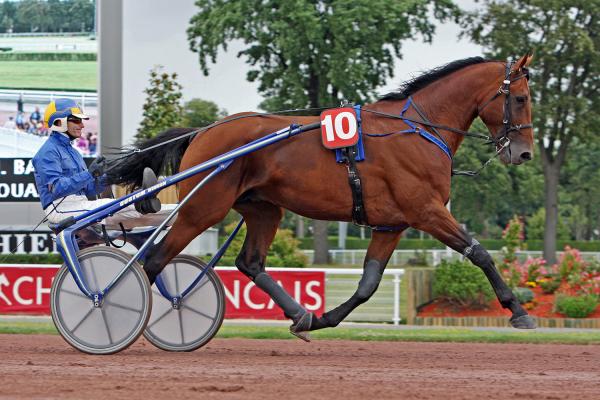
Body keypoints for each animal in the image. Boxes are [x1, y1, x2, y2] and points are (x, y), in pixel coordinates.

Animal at [106, 54, 536, 338]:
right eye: (521, 99)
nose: (524, 154)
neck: (418, 128)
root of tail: (203, 131)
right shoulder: (426, 212)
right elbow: (480, 254)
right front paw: (518, 310)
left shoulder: (391, 224)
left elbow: (368, 284)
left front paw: (325, 318)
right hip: (202, 208)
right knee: (154, 261)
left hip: (263, 209)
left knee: (249, 263)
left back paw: (301, 314)